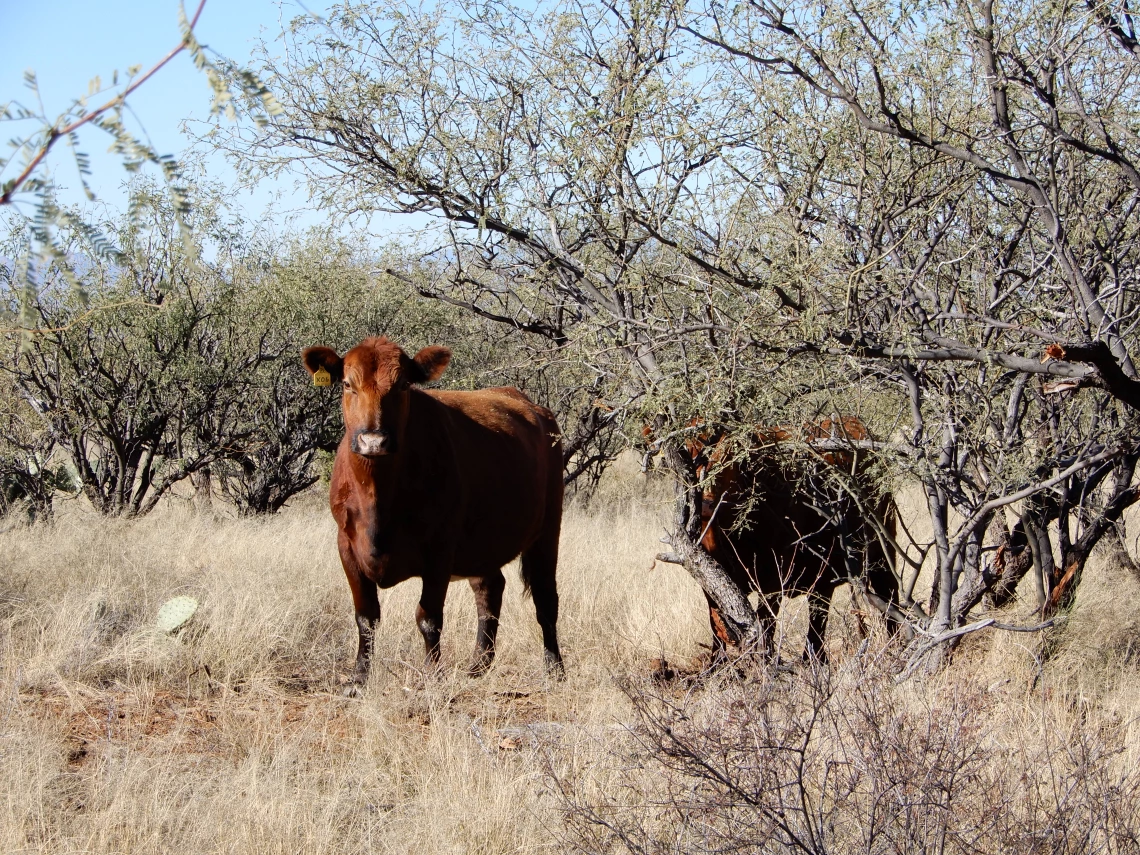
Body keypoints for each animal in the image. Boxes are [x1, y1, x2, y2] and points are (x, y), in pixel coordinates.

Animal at [303, 337, 565, 688]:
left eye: (403, 385)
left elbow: (428, 617)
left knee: (545, 599)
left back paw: (554, 667)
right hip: (482, 542)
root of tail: (534, 407)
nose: (374, 441)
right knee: (489, 590)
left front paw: (431, 676)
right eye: (347, 384)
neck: (378, 499)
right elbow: (365, 617)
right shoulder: (346, 545)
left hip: (547, 529)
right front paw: (358, 679)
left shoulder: (440, 548)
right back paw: (477, 665)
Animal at [670, 419, 902, 661]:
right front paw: (717, 663)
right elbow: (717, 626)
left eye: (730, 456)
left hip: (882, 553)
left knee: (889, 597)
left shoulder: (773, 581)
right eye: (689, 455)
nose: (706, 503)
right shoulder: (709, 576)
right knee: (818, 616)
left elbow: (764, 625)